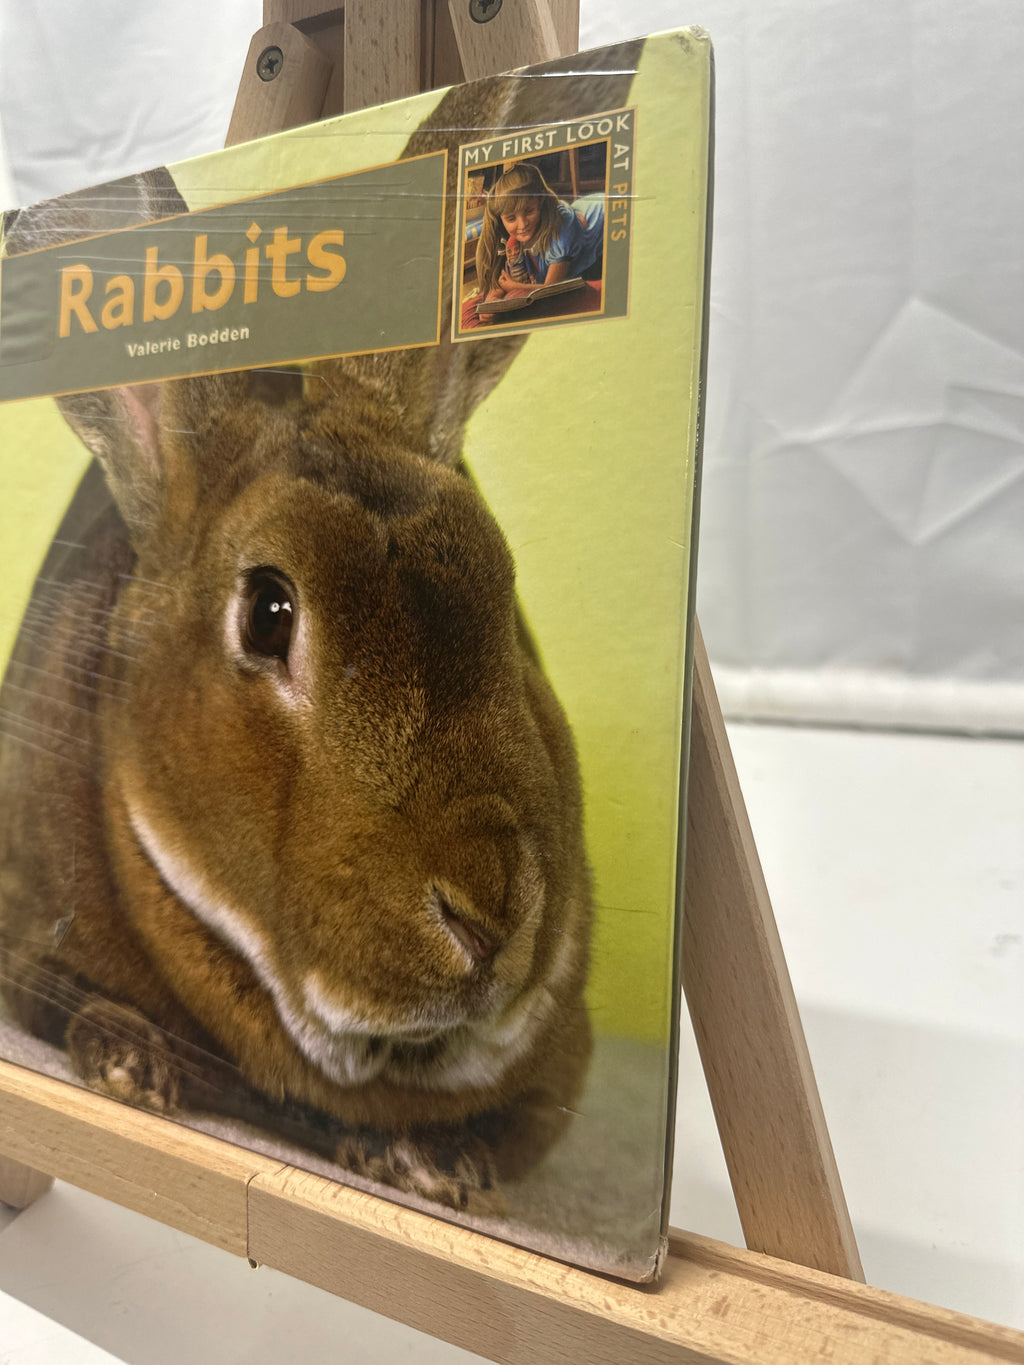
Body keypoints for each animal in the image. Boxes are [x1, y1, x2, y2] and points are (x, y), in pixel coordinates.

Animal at [0, 43, 643, 1214]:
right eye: (268, 614)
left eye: (505, 590)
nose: (491, 914)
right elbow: (59, 998)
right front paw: (133, 1066)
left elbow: (511, 1129)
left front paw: (435, 1168)